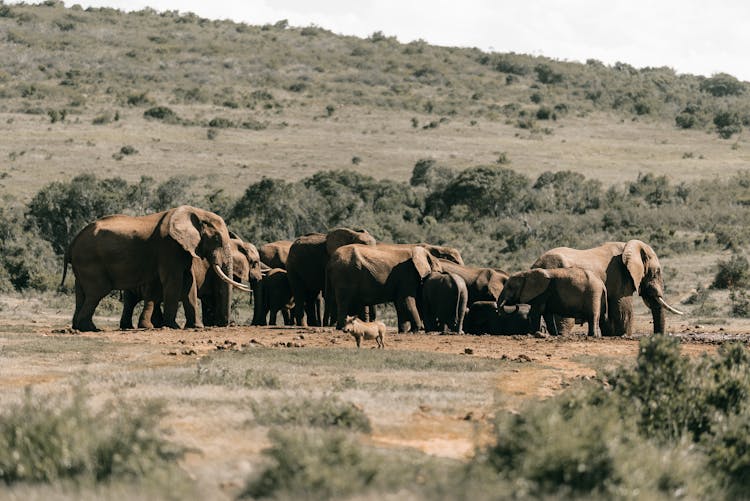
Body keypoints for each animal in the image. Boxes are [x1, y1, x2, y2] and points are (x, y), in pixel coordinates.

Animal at [61, 205, 250, 330]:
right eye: (217, 239)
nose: (227, 324)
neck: (195, 213)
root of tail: (71, 243)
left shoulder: (182, 249)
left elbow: (188, 282)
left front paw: (196, 327)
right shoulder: (169, 246)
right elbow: (174, 281)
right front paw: (173, 326)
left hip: (82, 265)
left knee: (82, 293)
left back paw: (78, 327)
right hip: (90, 261)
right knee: (96, 293)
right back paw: (90, 328)